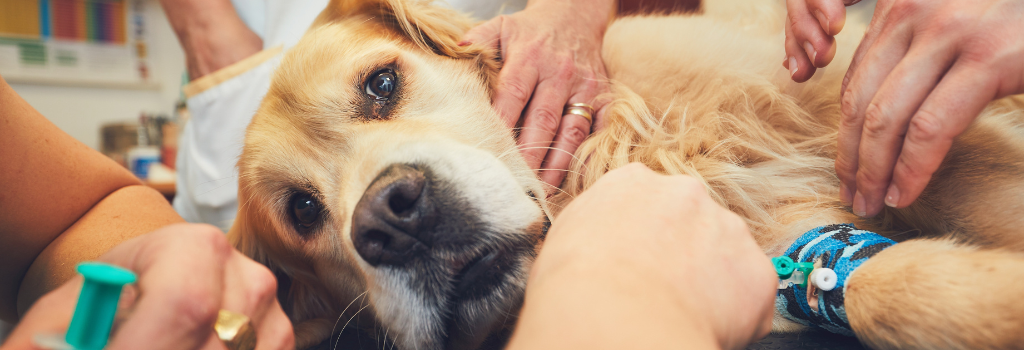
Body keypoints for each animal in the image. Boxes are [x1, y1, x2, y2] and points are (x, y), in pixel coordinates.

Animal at [230, 0, 1024, 347]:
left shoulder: (883, 121)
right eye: (303, 212)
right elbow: (886, 288)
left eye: (381, 85)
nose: (390, 220)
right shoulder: (787, 251)